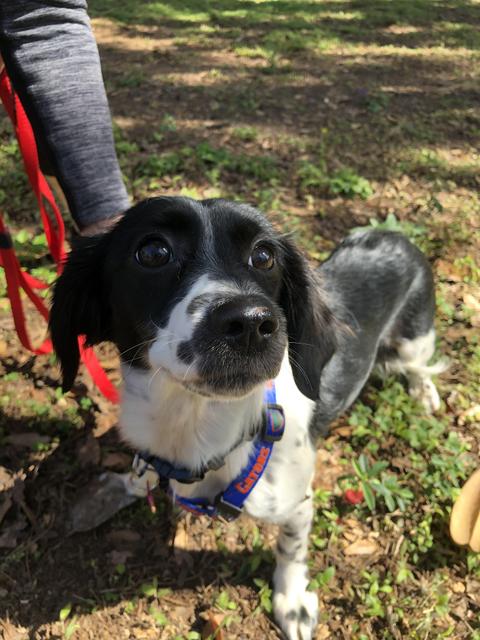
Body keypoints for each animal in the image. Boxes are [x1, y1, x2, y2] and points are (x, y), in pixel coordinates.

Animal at [50, 197, 444, 640]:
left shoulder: (298, 503)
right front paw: (117, 487)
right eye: (152, 252)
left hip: (415, 340)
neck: (196, 428)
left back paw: (424, 392)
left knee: (418, 365)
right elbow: (142, 476)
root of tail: (393, 233)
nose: (252, 323)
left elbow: (291, 550)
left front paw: (292, 601)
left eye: (264, 255)